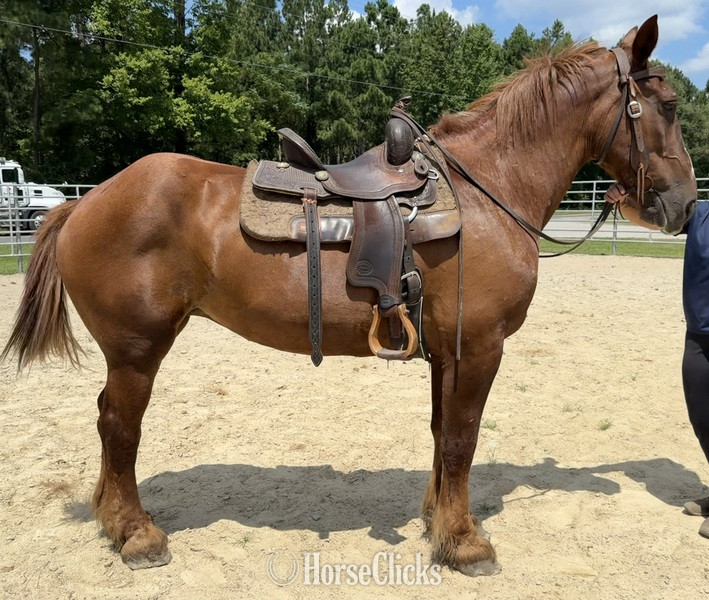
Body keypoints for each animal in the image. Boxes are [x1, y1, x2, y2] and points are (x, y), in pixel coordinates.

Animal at [1, 16, 697, 575]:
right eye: (665, 105)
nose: (686, 206)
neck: (484, 191)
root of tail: (85, 202)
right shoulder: (479, 348)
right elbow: (464, 438)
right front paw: (466, 544)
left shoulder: (446, 352)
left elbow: (443, 434)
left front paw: (439, 522)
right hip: (137, 349)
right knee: (119, 427)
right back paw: (136, 535)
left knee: (106, 422)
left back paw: (111, 520)